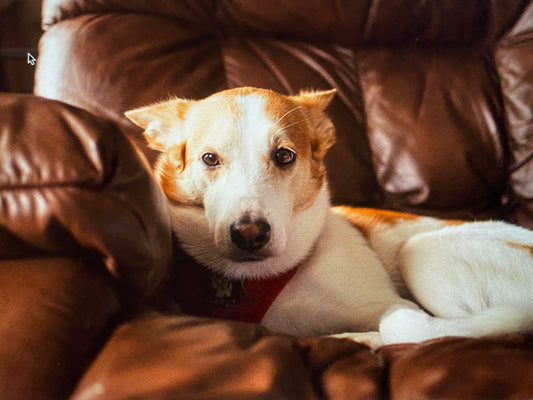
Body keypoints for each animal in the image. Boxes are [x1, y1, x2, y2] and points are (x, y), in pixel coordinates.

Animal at [125, 86, 533, 346]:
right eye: (209, 159)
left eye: (284, 156)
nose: (250, 234)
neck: (259, 281)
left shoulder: (397, 306)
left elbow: (408, 324)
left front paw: (363, 335)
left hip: (423, 252)